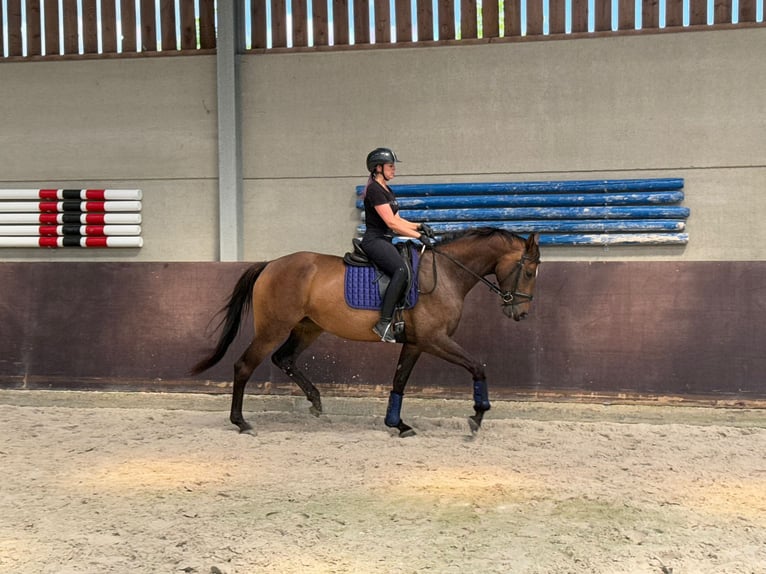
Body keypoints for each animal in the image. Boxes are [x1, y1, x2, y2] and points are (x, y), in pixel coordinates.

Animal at [190, 228, 541, 437]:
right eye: (529, 270)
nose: (521, 313)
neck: (446, 274)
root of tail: (271, 264)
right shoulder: (435, 340)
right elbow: (477, 366)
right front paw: (478, 415)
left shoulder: (416, 343)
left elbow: (399, 381)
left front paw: (397, 424)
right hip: (273, 329)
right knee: (244, 366)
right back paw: (241, 422)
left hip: (308, 328)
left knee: (284, 359)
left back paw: (316, 404)